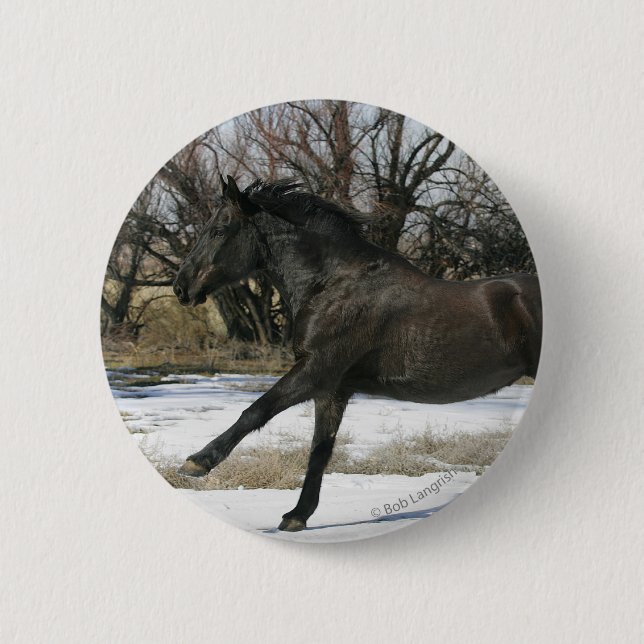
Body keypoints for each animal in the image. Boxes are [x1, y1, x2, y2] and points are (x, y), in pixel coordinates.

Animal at [172, 176, 542, 531]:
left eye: (219, 230)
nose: (181, 288)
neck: (332, 285)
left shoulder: (316, 370)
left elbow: (256, 411)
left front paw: (196, 462)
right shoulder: (333, 390)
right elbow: (320, 449)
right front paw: (297, 516)